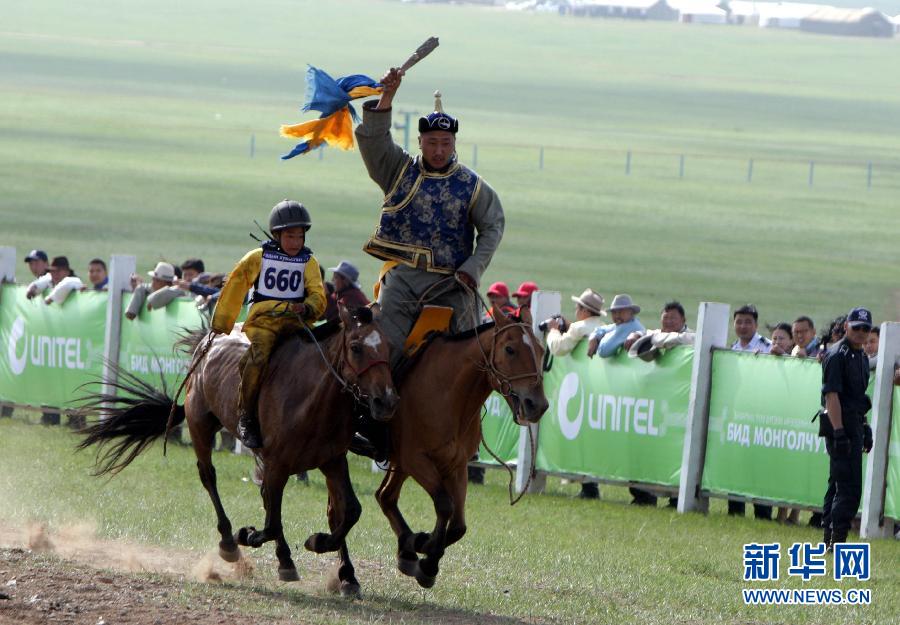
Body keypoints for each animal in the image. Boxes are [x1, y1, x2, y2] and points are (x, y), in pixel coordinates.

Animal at [79, 306, 396, 596]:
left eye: (387, 346)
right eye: (356, 347)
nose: (386, 402)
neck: (310, 397)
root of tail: (206, 342)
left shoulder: (331, 460)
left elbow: (350, 510)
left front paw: (323, 548)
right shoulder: (278, 463)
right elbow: (271, 522)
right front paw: (248, 535)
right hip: (200, 425)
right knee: (209, 476)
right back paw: (230, 543)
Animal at [372, 308, 548, 588]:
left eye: (541, 350)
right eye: (510, 349)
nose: (537, 405)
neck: (447, 393)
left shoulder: (455, 465)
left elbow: (458, 526)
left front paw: (424, 550)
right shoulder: (416, 460)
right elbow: (445, 505)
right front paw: (426, 554)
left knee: (385, 496)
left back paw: (407, 549)